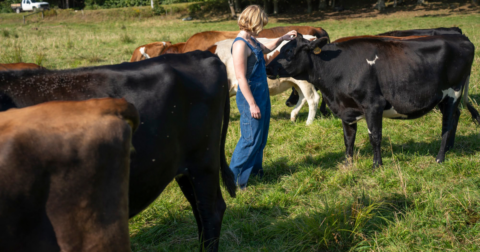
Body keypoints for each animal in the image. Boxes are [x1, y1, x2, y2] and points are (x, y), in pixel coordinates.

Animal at [266, 33, 480, 170]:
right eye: (281, 49)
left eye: (289, 52)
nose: (267, 67)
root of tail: (462, 38)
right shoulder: (346, 109)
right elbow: (348, 138)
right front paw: (347, 163)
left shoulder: (373, 105)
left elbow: (375, 136)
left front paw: (377, 165)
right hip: (445, 98)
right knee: (455, 117)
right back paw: (450, 148)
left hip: (453, 93)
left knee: (447, 125)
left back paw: (440, 158)